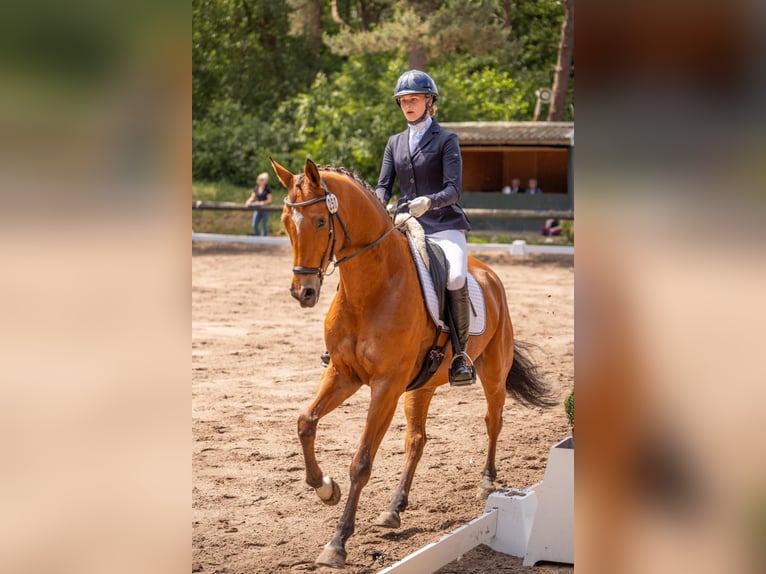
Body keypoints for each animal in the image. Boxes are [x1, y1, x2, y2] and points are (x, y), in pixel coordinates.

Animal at [272, 159, 560, 572]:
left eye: (320, 222)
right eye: (286, 222)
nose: (304, 293)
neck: (371, 289)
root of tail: (488, 273)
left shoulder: (385, 386)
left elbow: (361, 461)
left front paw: (338, 542)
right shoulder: (343, 374)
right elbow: (305, 422)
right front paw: (325, 488)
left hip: (492, 373)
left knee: (493, 420)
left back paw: (487, 482)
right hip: (421, 386)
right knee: (416, 440)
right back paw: (395, 508)